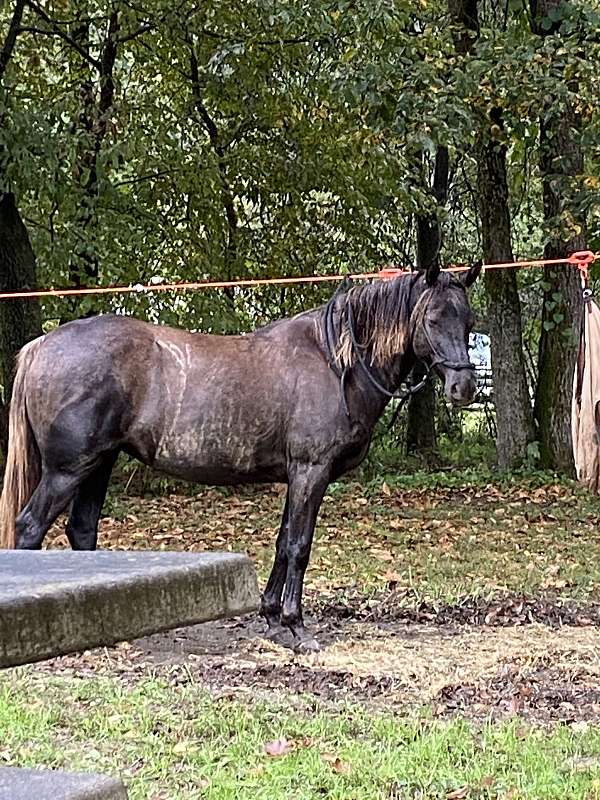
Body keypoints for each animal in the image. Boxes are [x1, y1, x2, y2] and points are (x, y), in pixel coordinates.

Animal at [0, 262, 480, 648]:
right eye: (433, 318)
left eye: (469, 319)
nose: (463, 388)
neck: (334, 360)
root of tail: (40, 346)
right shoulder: (311, 472)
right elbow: (299, 545)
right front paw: (296, 626)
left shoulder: (297, 477)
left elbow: (283, 542)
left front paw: (271, 618)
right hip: (67, 470)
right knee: (30, 527)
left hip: (98, 464)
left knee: (82, 531)